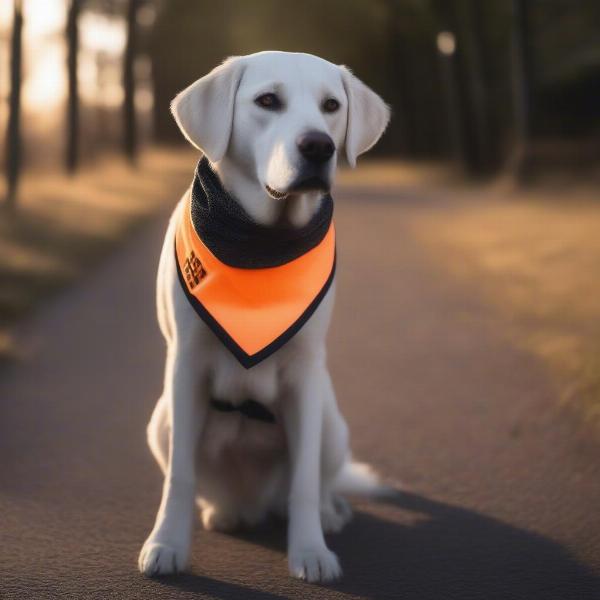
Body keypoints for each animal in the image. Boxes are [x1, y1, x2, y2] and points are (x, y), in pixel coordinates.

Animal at [137, 49, 390, 584]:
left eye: (331, 106)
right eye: (268, 101)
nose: (318, 146)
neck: (261, 243)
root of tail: (254, 502)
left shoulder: (305, 376)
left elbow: (305, 481)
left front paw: (310, 551)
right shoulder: (186, 366)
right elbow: (180, 476)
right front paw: (167, 544)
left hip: (332, 423)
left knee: (318, 481)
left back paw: (329, 512)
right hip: (161, 422)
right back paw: (223, 512)